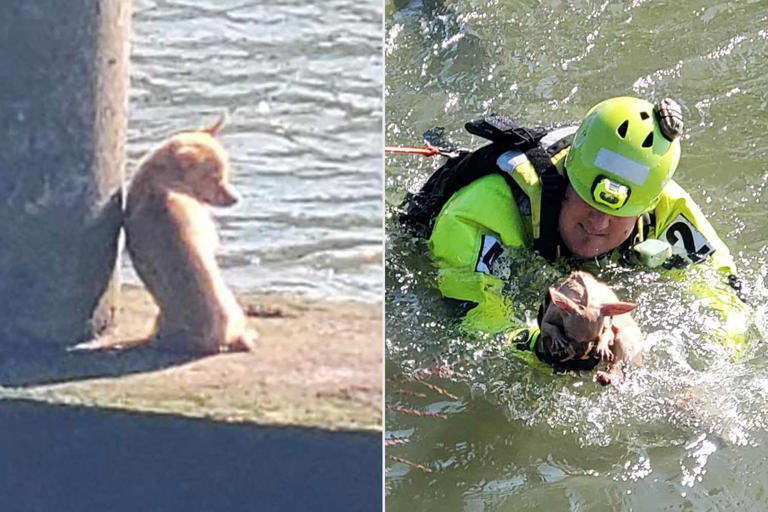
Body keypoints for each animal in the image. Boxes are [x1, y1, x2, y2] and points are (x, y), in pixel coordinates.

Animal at [125, 117, 255, 354]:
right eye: (214, 178)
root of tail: (214, 341)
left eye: (226, 173)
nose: (236, 198)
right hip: (233, 310)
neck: (164, 178)